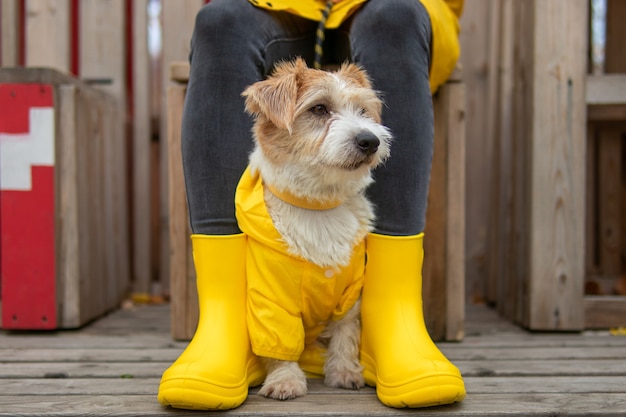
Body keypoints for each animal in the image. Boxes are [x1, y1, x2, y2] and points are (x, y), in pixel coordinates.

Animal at [235, 57, 390, 400]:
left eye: (363, 111)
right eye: (319, 108)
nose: (370, 140)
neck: (318, 206)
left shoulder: (350, 293)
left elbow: (346, 331)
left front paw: (344, 371)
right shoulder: (270, 297)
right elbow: (278, 340)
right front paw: (284, 379)